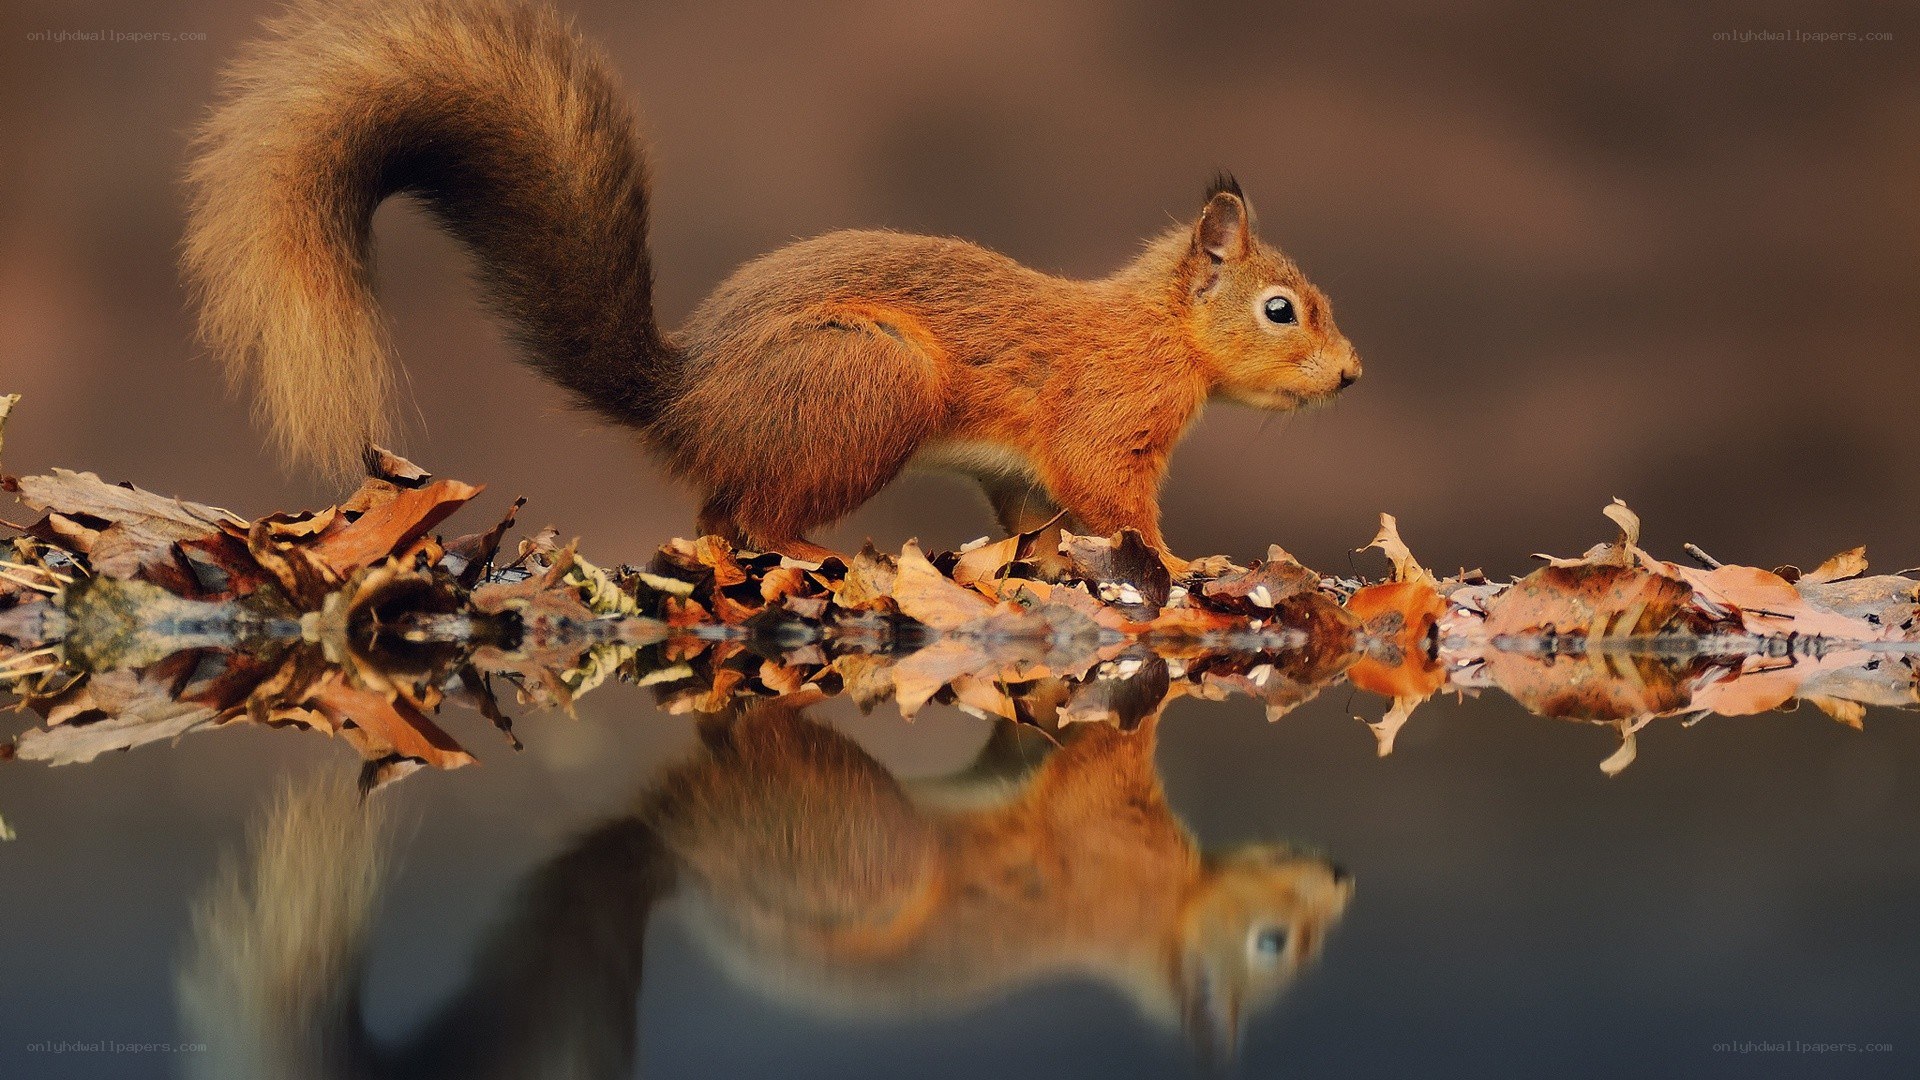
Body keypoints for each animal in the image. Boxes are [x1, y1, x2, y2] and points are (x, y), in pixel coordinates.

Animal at [183, 0, 1361, 562]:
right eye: (1281, 310)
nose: (1351, 377)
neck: (1162, 332)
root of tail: (688, 403)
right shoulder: (1105, 420)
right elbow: (1114, 501)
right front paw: (1184, 565)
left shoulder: (1025, 470)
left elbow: (1035, 509)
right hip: (869, 387)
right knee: (757, 516)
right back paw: (823, 548)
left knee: (718, 515)